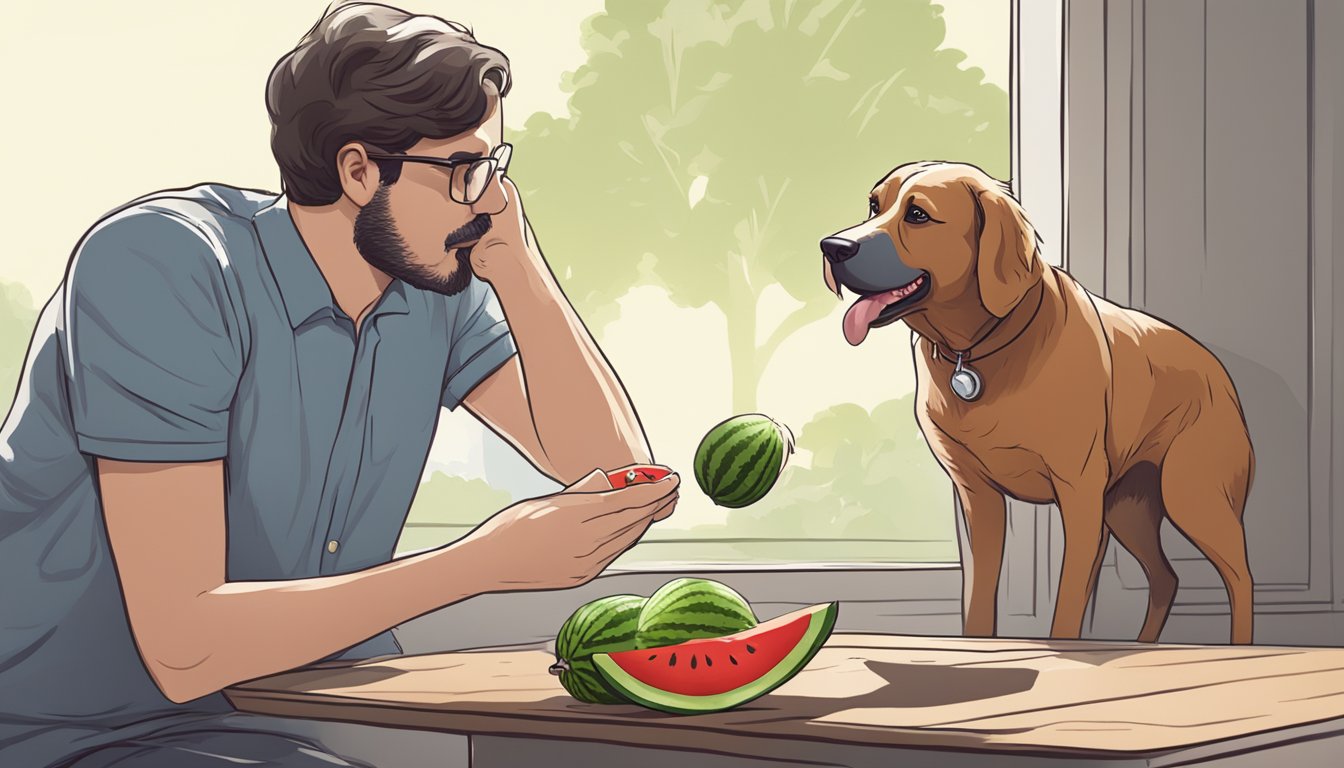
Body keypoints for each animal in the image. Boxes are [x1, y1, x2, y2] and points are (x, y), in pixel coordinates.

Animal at [817, 160, 1257, 642]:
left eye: (917, 215)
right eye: (873, 206)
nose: (831, 247)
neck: (978, 349)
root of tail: (1219, 372)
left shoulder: (1079, 492)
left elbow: (1068, 603)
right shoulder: (976, 497)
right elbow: (977, 596)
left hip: (1191, 494)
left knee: (1240, 576)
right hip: (1128, 508)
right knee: (1166, 577)